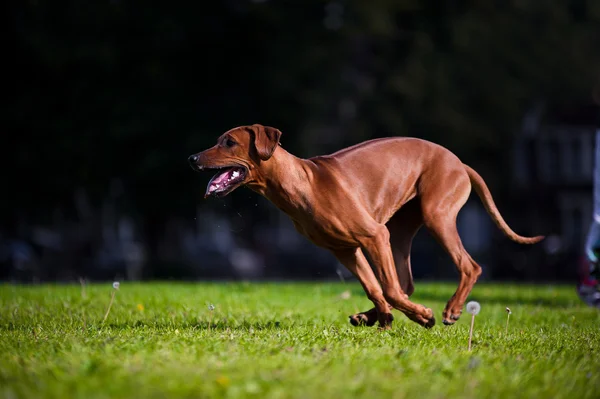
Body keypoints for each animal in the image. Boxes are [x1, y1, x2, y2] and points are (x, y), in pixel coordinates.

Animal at [189, 126, 544, 332]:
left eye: (229, 142)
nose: (192, 158)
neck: (301, 182)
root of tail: (459, 162)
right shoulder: (345, 249)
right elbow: (376, 288)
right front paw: (384, 318)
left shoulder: (373, 235)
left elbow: (387, 289)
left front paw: (422, 316)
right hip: (399, 232)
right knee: (405, 283)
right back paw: (371, 316)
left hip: (435, 214)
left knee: (467, 266)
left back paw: (450, 310)